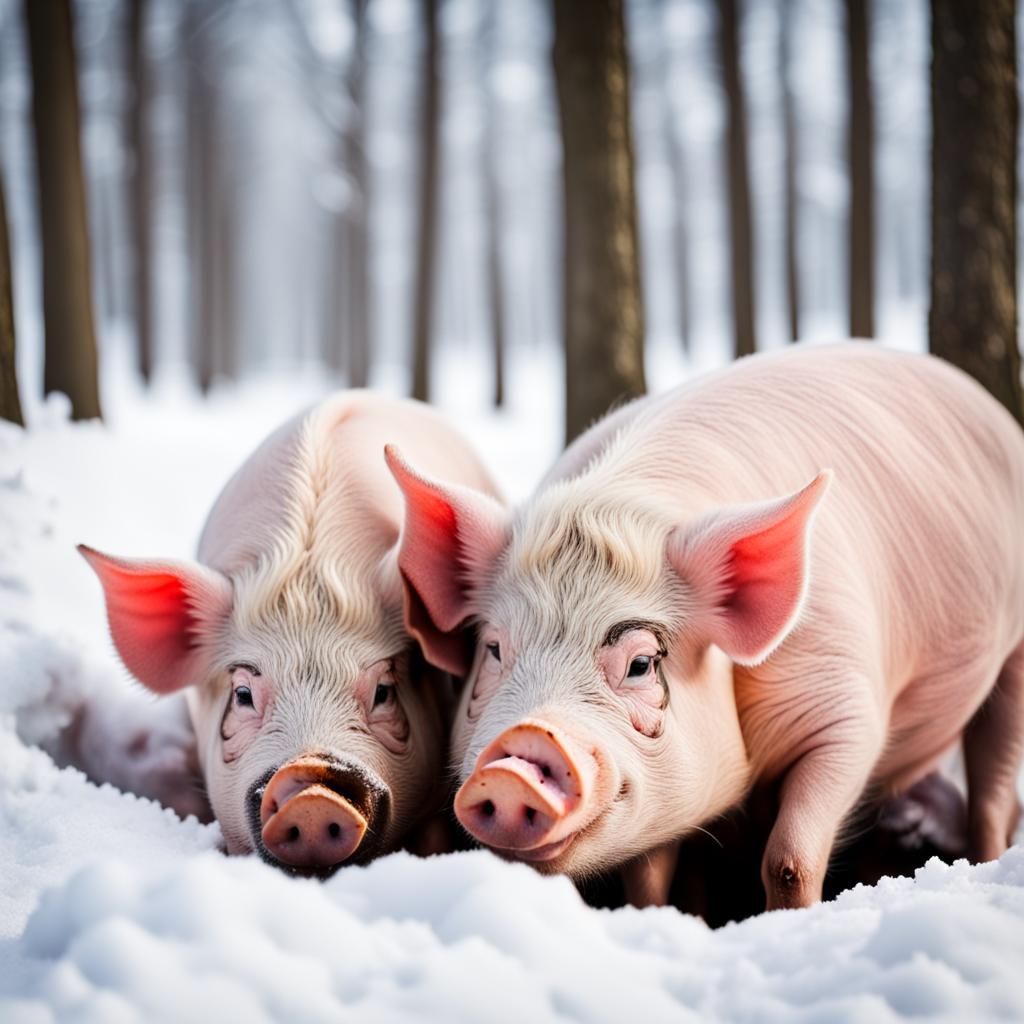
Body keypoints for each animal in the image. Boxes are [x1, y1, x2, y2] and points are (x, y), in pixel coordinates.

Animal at [385, 344, 1024, 910]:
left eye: (641, 663)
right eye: (494, 650)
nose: (517, 753)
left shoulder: (847, 708)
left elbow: (790, 858)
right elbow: (648, 874)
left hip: (1013, 652)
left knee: (994, 787)